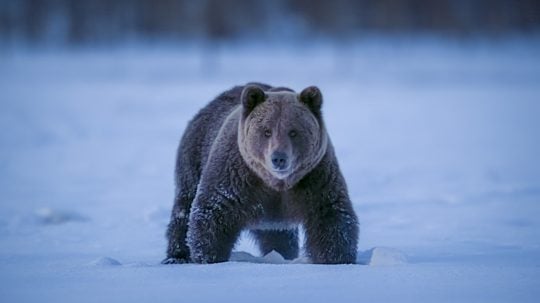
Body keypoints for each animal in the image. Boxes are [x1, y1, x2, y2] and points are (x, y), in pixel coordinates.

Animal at [163, 84, 358, 264]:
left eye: (293, 131)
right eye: (266, 131)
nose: (278, 158)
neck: (276, 183)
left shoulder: (315, 178)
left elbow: (331, 217)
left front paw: (337, 259)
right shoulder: (236, 178)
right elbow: (213, 214)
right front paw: (209, 257)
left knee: (280, 236)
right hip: (193, 158)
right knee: (184, 208)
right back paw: (177, 256)